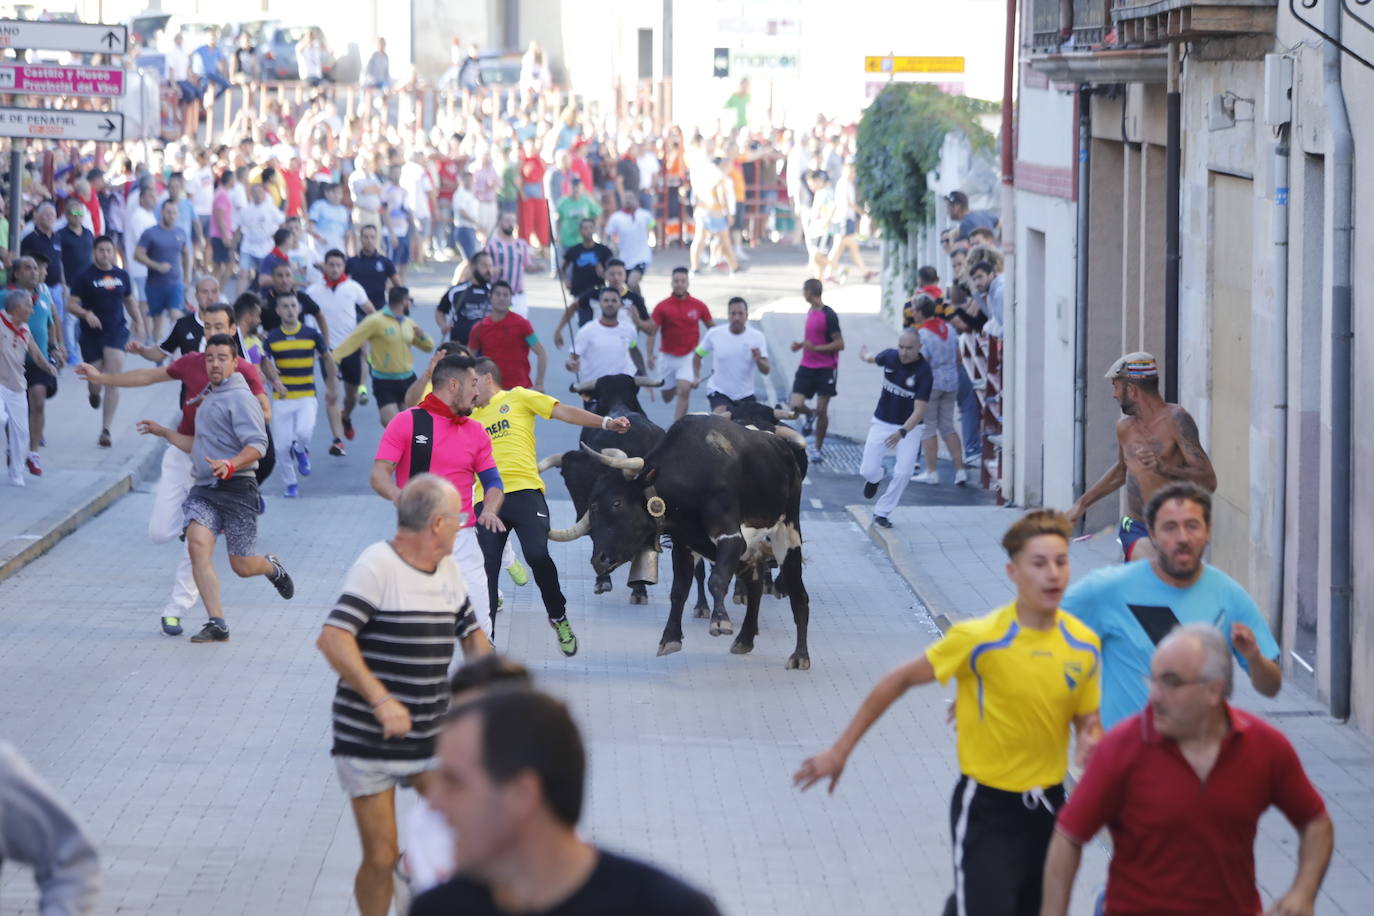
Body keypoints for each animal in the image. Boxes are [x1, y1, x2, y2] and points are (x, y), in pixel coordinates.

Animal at [571, 414, 813, 667]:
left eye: (616, 502)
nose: (599, 560)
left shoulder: (731, 538)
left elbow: (716, 580)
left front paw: (720, 621)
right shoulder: (685, 544)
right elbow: (679, 591)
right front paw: (670, 638)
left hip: (788, 531)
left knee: (799, 594)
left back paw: (800, 655)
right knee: (755, 584)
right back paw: (744, 639)